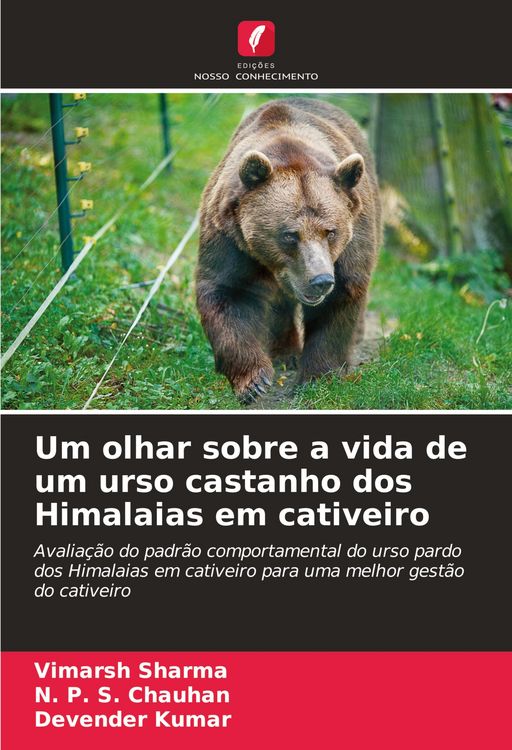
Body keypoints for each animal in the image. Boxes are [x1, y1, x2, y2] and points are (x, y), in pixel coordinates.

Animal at [196, 97, 382, 403]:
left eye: (331, 232)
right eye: (289, 235)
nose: (320, 280)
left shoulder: (352, 240)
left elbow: (341, 297)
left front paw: (317, 377)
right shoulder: (229, 236)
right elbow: (227, 292)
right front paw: (254, 381)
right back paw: (286, 353)